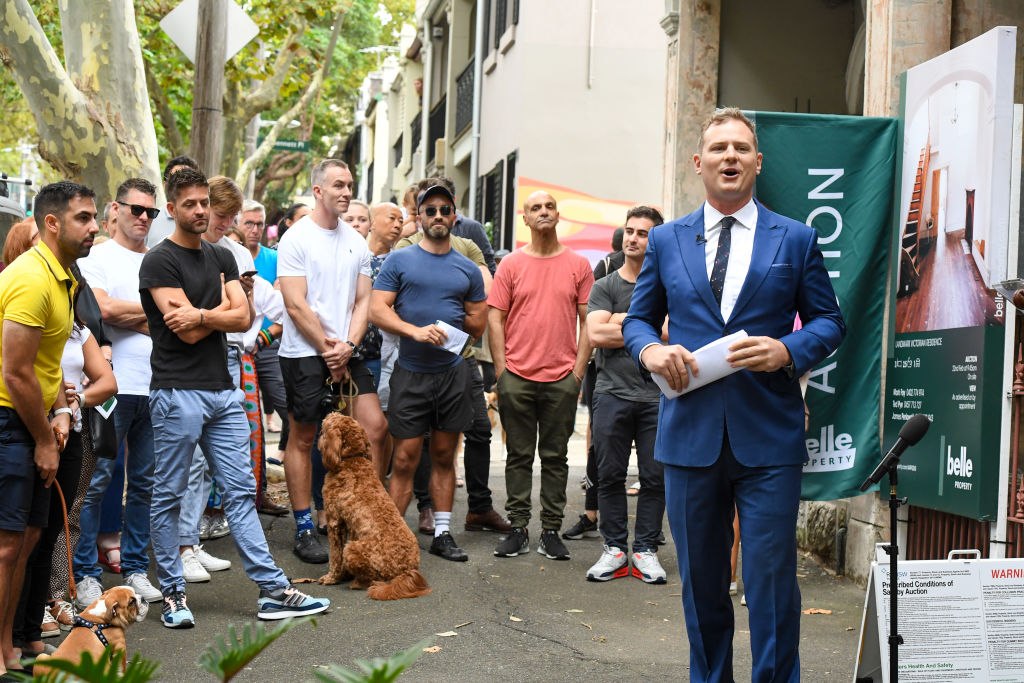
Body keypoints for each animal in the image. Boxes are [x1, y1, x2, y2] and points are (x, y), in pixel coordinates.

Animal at [319, 411, 432, 598]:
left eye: (323, 429)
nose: (331, 412)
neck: (352, 459)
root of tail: (405, 571)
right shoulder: (350, 526)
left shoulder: (335, 522)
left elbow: (335, 556)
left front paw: (332, 577)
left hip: (352, 549)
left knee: (370, 579)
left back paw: (357, 583)